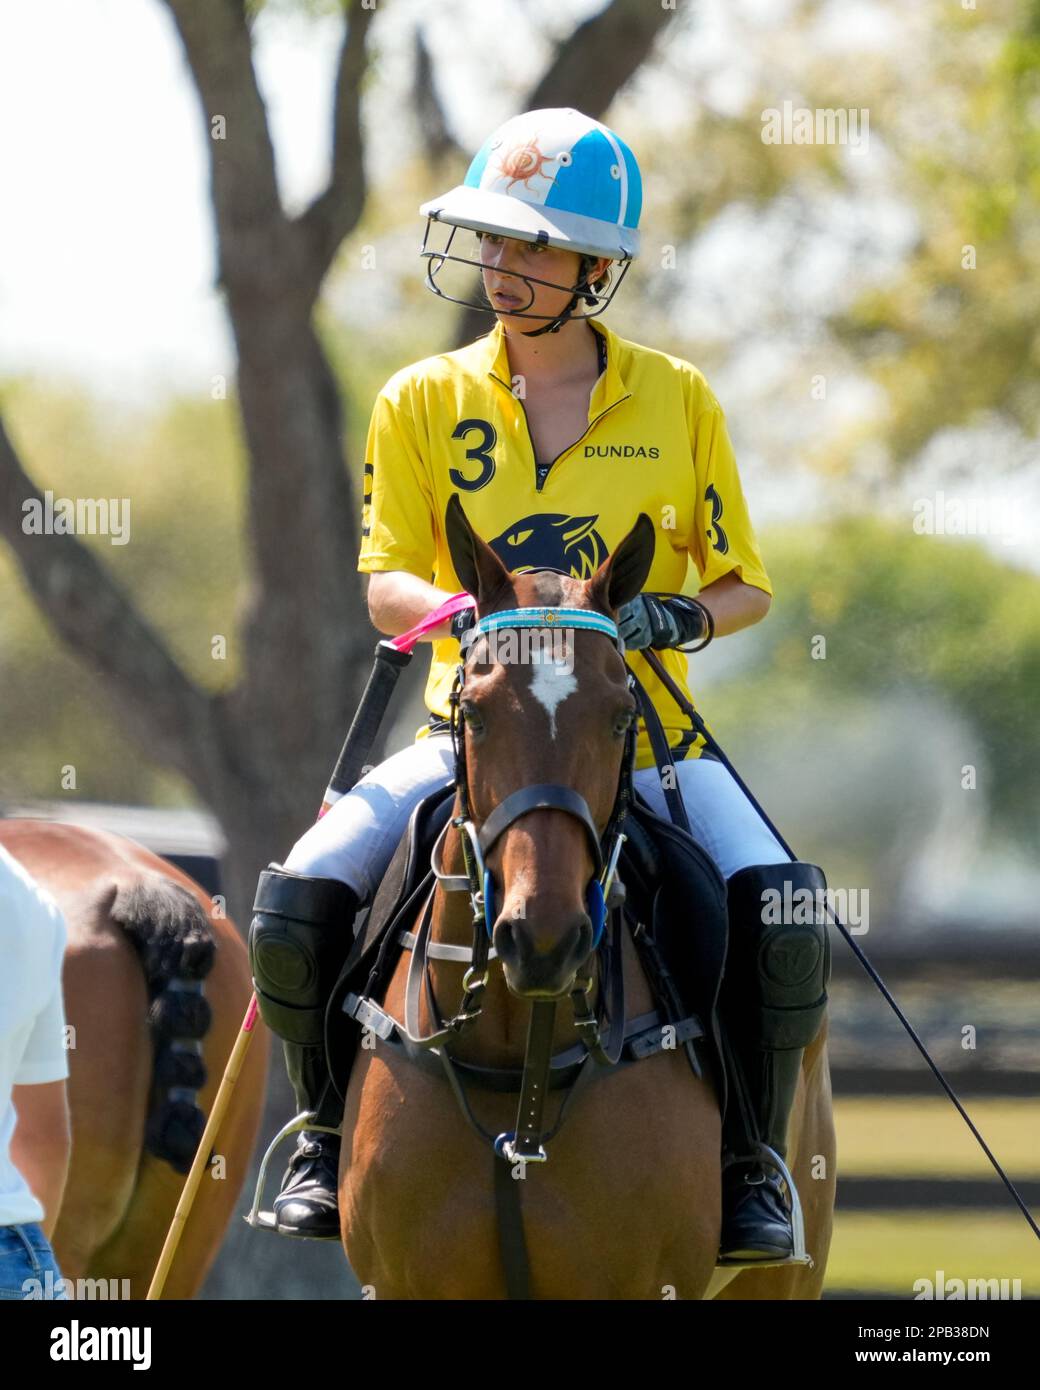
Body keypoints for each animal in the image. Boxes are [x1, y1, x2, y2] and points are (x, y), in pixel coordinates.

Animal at [340, 503, 834, 1301]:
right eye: (474, 712)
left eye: (620, 714)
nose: (543, 939)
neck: (518, 1059)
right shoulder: (403, 1282)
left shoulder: (640, 1282)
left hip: (792, 1268)